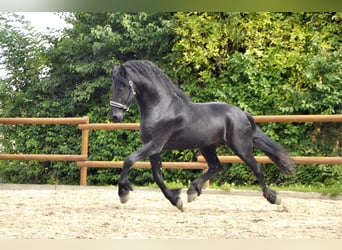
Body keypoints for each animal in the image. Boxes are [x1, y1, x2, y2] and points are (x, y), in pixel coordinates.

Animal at [110, 60, 294, 211]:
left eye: (122, 87)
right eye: (113, 87)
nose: (114, 117)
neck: (160, 107)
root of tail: (242, 113)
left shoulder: (155, 144)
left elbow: (129, 160)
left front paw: (123, 194)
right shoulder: (154, 149)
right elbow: (158, 176)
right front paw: (176, 201)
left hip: (241, 147)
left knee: (256, 167)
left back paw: (274, 198)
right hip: (207, 146)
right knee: (215, 166)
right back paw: (192, 191)